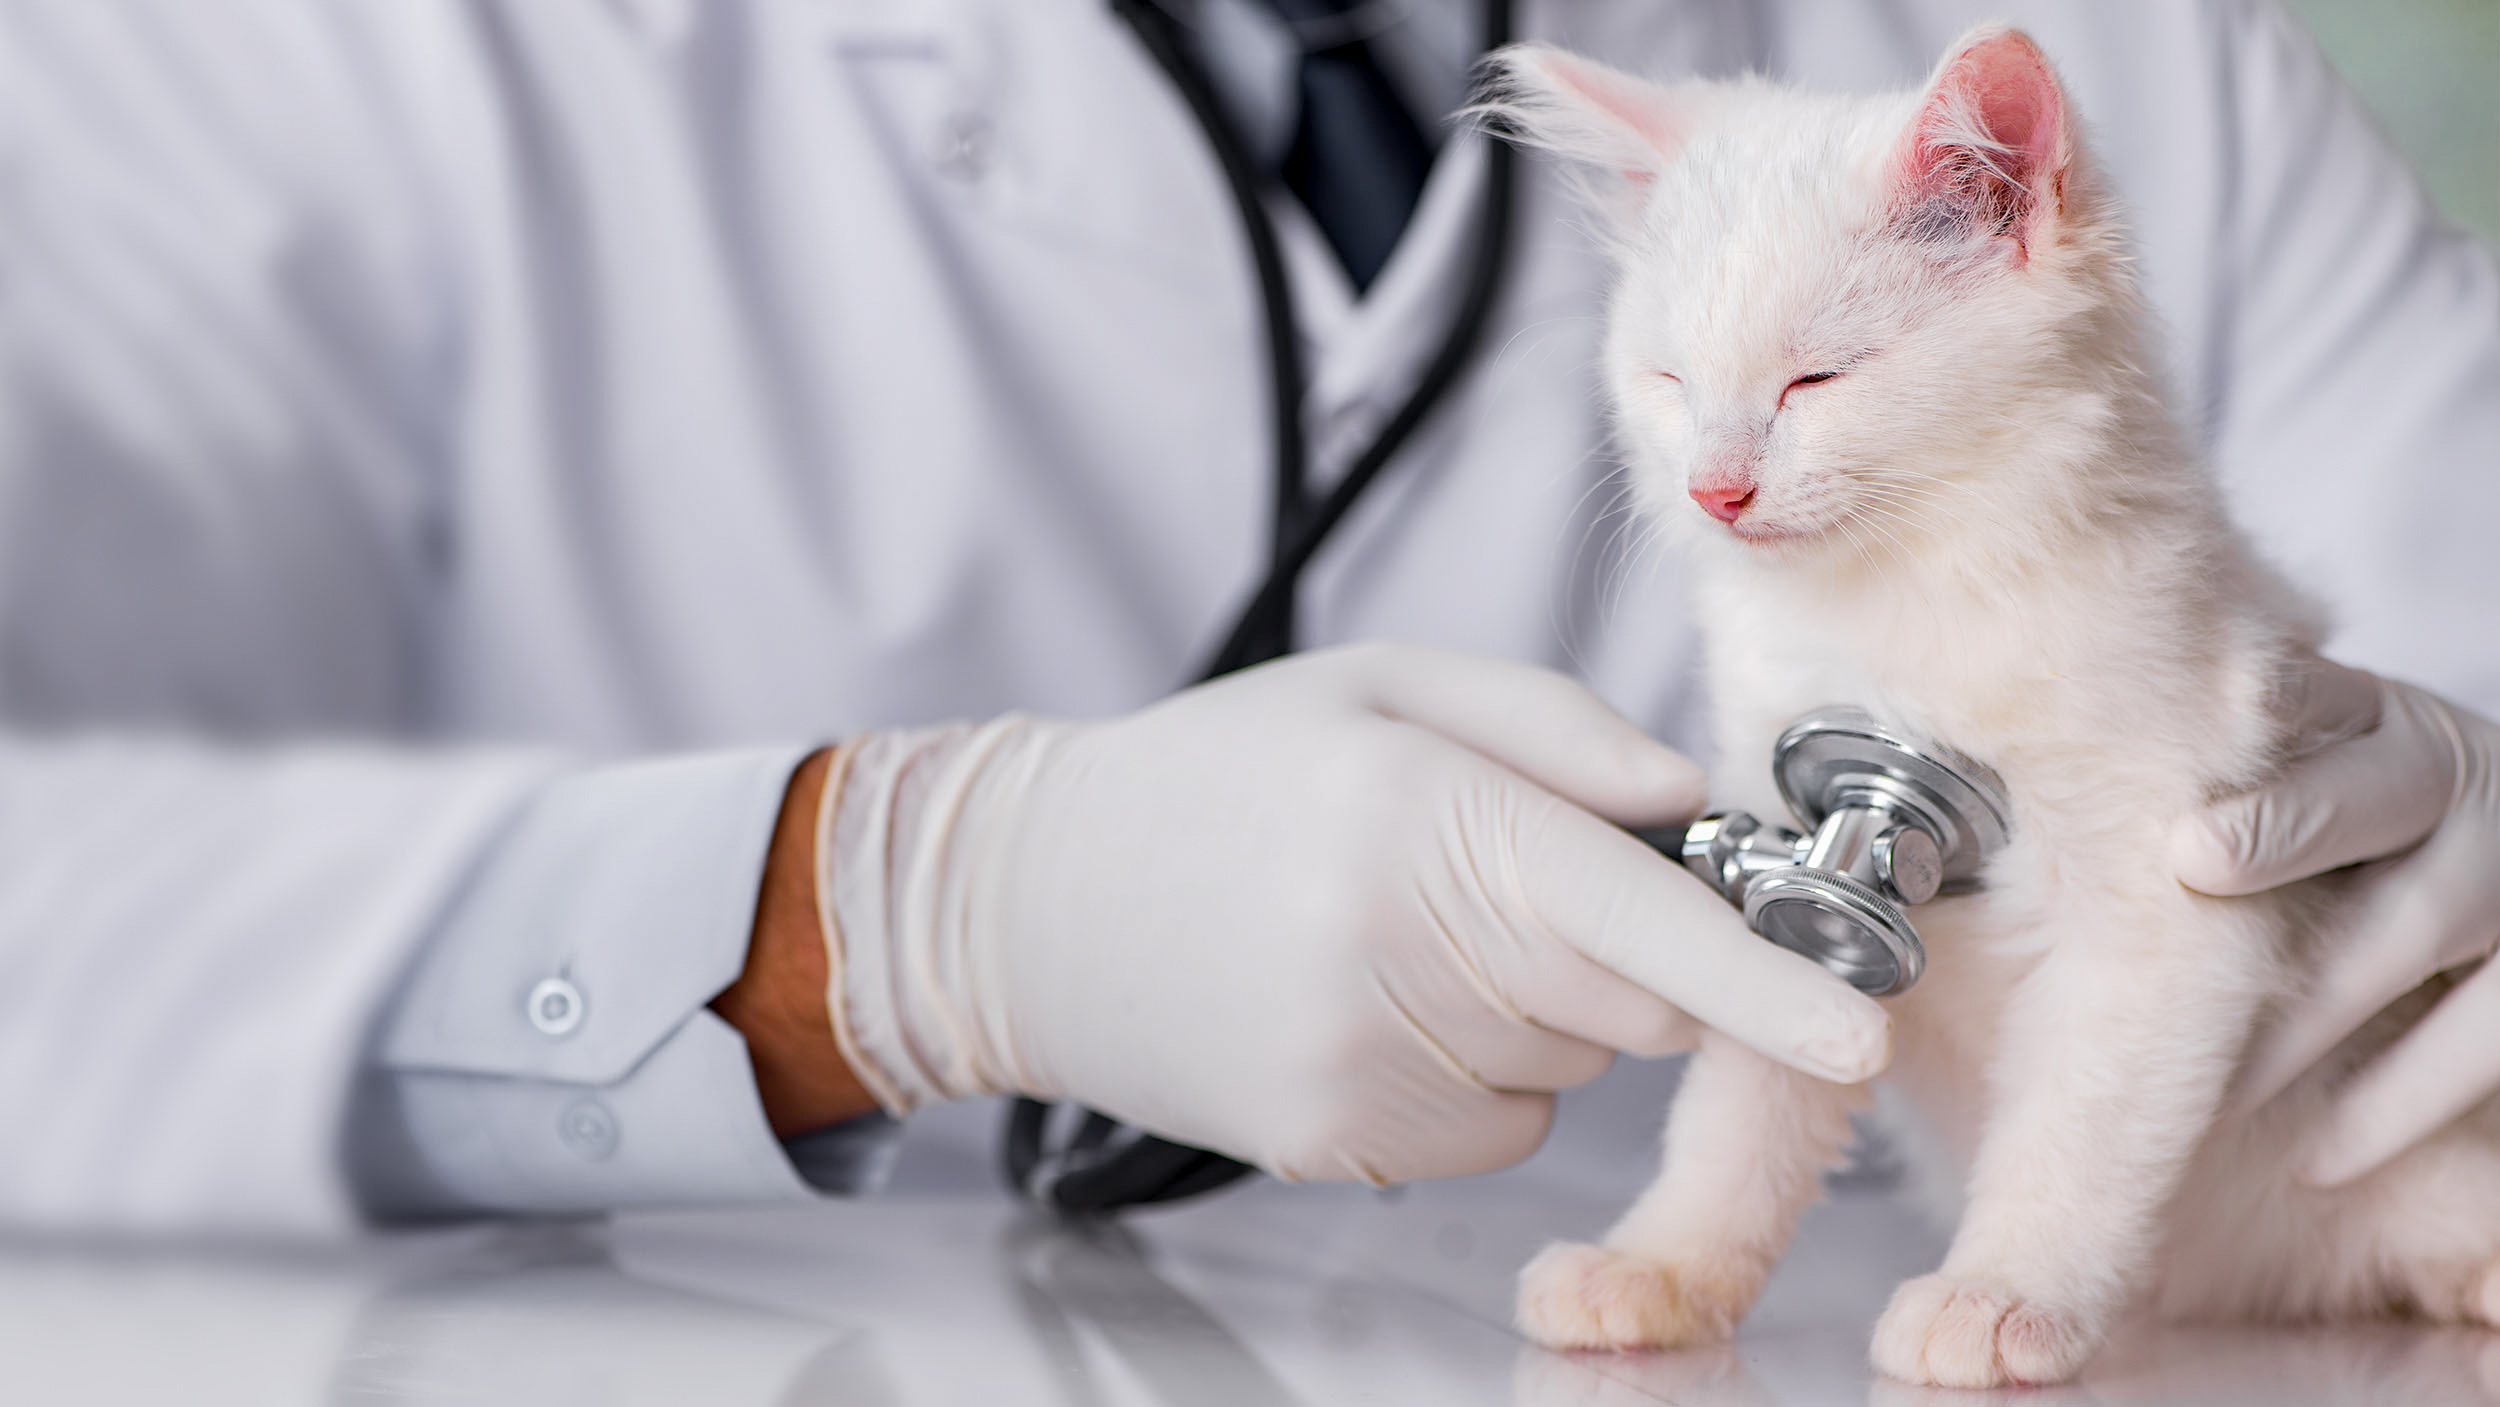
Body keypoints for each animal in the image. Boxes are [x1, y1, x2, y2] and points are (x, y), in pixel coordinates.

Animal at [1490, 24, 2500, 1399]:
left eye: (1814, 379)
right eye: (1670, 382)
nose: (1714, 491)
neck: (1909, 593)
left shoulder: (2162, 909)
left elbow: (2074, 1130)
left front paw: (2001, 1293)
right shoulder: (1781, 844)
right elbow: (1741, 1110)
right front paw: (1661, 1264)